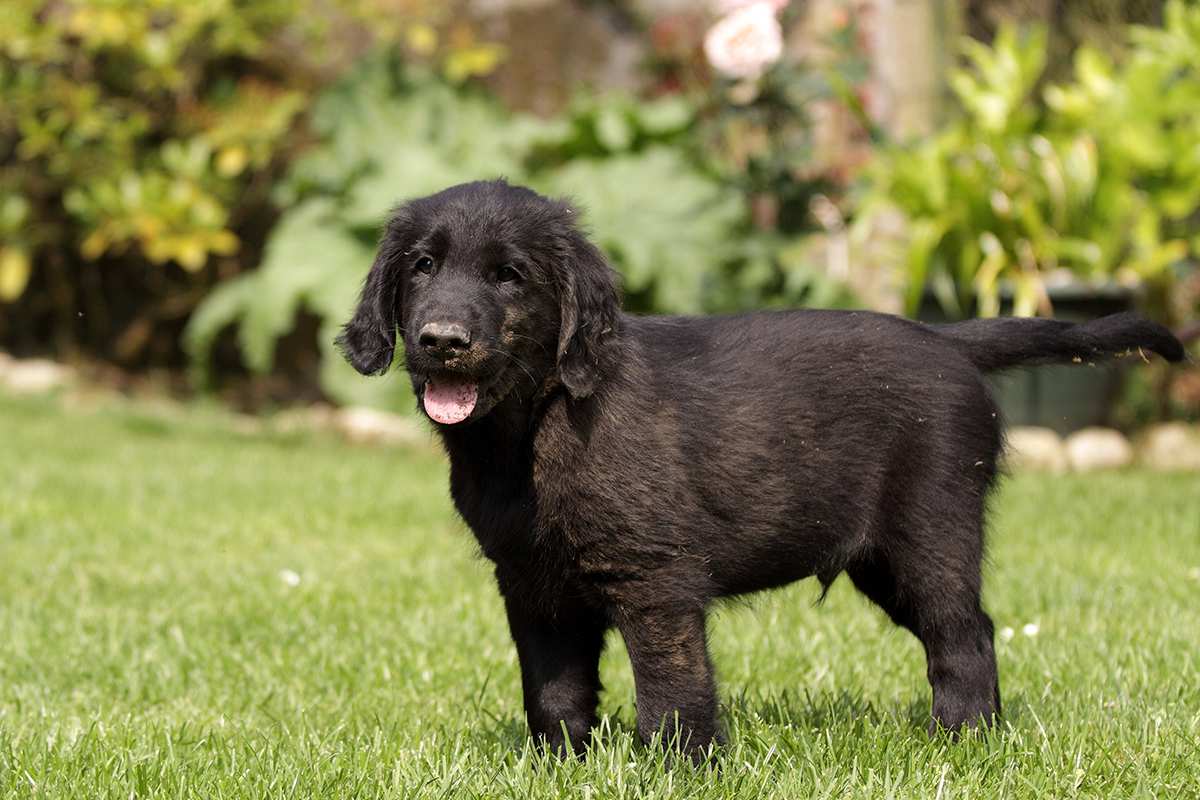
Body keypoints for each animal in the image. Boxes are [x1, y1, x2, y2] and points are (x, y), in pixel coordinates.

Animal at [338, 179, 1180, 758]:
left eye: (508, 275)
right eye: (422, 266)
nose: (441, 340)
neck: (532, 428)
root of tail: (946, 338)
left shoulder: (657, 578)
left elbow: (674, 685)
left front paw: (676, 767)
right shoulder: (530, 582)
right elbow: (554, 688)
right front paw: (560, 765)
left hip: (931, 531)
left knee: (963, 634)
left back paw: (964, 742)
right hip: (882, 562)